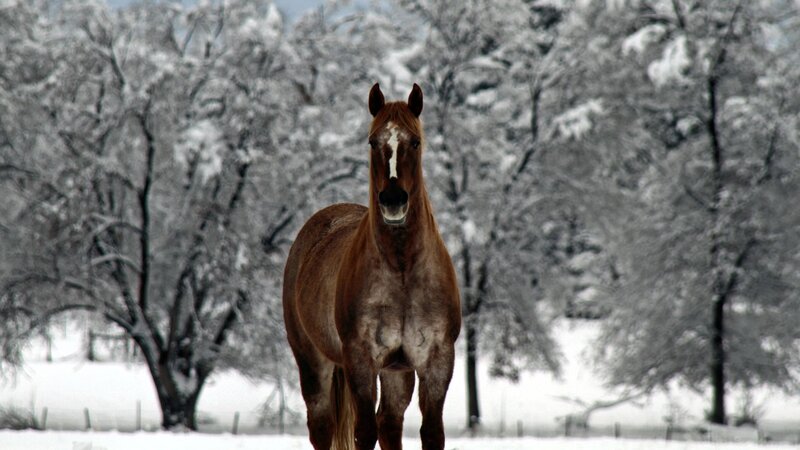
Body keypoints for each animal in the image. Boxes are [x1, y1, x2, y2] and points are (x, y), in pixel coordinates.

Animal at [282, 83, 461, 450]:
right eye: (372, 141)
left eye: (415, 141)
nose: (393, 200)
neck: (402, 269)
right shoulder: (361, 360)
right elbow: (363, 432)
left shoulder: (436, 360)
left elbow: (431, 433)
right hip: (312, 362)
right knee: (322, 426)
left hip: (397, 373)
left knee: (389, 423)